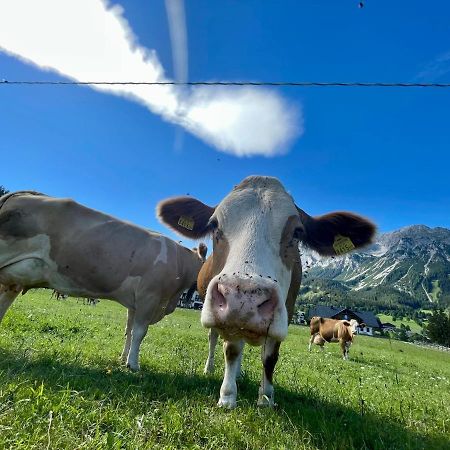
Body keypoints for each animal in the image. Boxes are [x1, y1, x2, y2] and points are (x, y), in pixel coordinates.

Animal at [0, 190, 207, 370]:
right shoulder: (149, 296)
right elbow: (140, 332)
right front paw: (133, 365)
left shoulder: (135, 304)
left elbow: (129, 330)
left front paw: (123, 358)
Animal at [158, 175, 376, 408]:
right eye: (214, 225)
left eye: (297, 232)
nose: (243, 300)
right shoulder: (229, 320)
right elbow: (231, 350)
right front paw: (227, 396)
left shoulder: (285, 312)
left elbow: (270, 357)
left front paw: (266, 398)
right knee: (213, 338)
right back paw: (210, 368)